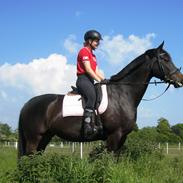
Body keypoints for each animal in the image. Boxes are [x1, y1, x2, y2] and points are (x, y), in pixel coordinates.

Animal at [17, 42, 183, 158]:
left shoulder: (122, 137)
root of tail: (27, 105)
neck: (122, 94)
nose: (180, 79)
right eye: (165, 59)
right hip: (34, 138)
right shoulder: (114, 135)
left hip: (45, 137)